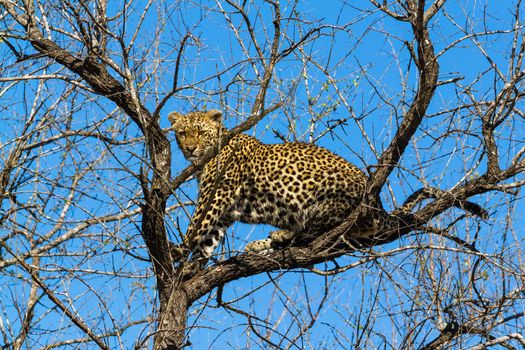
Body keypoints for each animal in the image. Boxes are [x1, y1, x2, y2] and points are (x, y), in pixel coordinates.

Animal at [169, 110, 488, 262]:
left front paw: (178, 251)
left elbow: (198, 223)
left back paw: (279, 236)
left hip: (323, 198)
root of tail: (379, 208)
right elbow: (209, 235)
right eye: (182, 133)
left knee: (314, 231)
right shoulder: (224, 208)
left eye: (199, 132)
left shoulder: (218, 192)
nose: (190, 148)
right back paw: (263, 243)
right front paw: (193, 265)